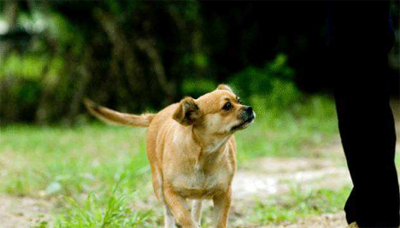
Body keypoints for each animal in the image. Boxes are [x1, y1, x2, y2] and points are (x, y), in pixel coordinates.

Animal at [84, 84, 256, 227]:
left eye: (239, 100)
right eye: (227, 106)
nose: (249, 108)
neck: (204, 155)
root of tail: (155, 115)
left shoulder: (224, 194)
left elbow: (218, 221)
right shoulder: (171, 192)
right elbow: (183, 217)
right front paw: (188, 222)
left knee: (196, 206)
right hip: (158, 186)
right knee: (169, 214)